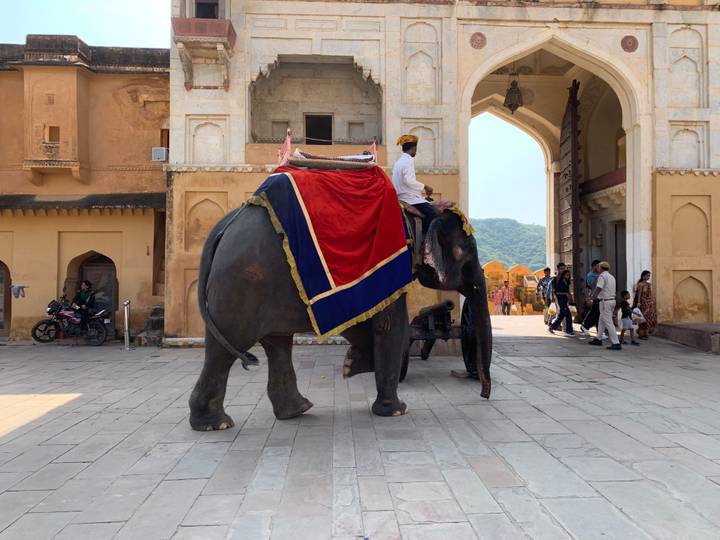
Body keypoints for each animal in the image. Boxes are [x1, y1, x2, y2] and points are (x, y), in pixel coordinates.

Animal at [188, 203, 492, 431]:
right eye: (469, 252)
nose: (483, 396)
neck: (416, 215)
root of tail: (223, 226)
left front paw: (351, 364)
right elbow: (392, 327)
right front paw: (396, 411)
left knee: (275, 343)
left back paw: (296, 410)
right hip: (242, 284)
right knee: (228, 347)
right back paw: (215, 424)